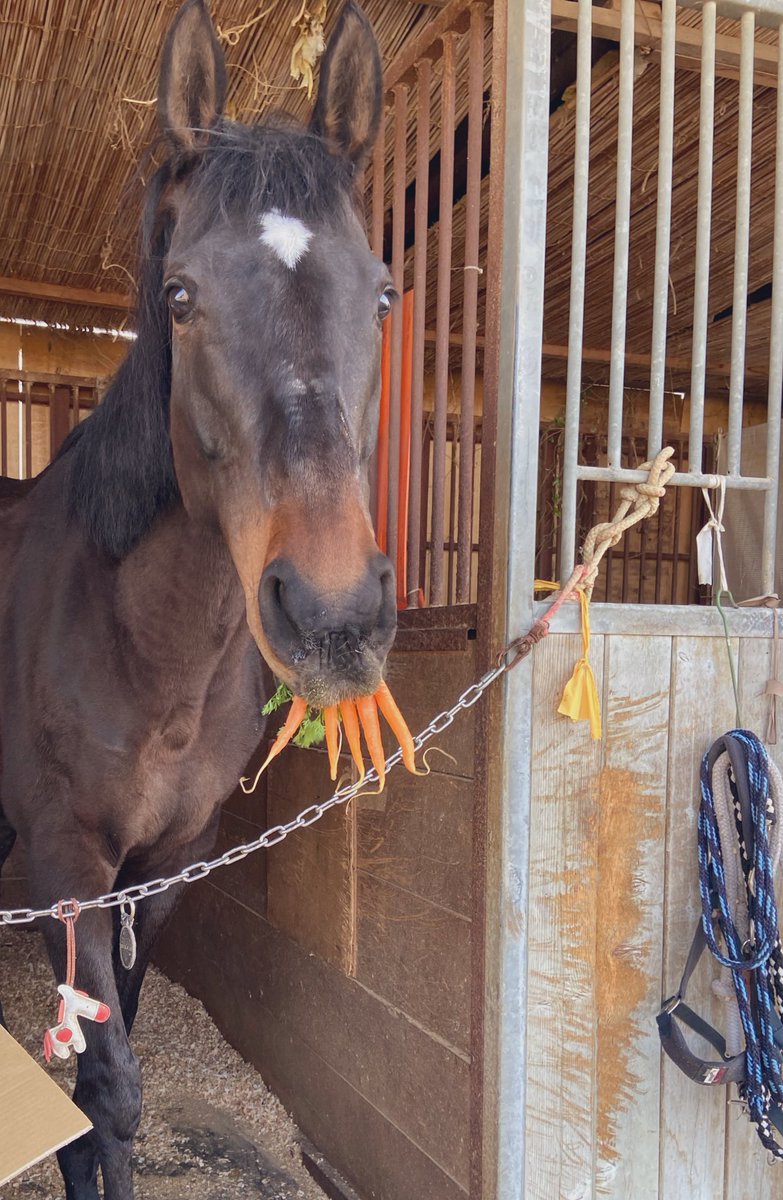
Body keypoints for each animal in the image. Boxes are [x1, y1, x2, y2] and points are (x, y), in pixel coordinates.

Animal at [0, 4, 391, 1195]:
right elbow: (105, 1094)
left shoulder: (162, 869)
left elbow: (110, 1056)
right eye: (181, 297)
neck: (146, 646)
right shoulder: (66, 861)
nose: (332, 617)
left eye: (384, 293)